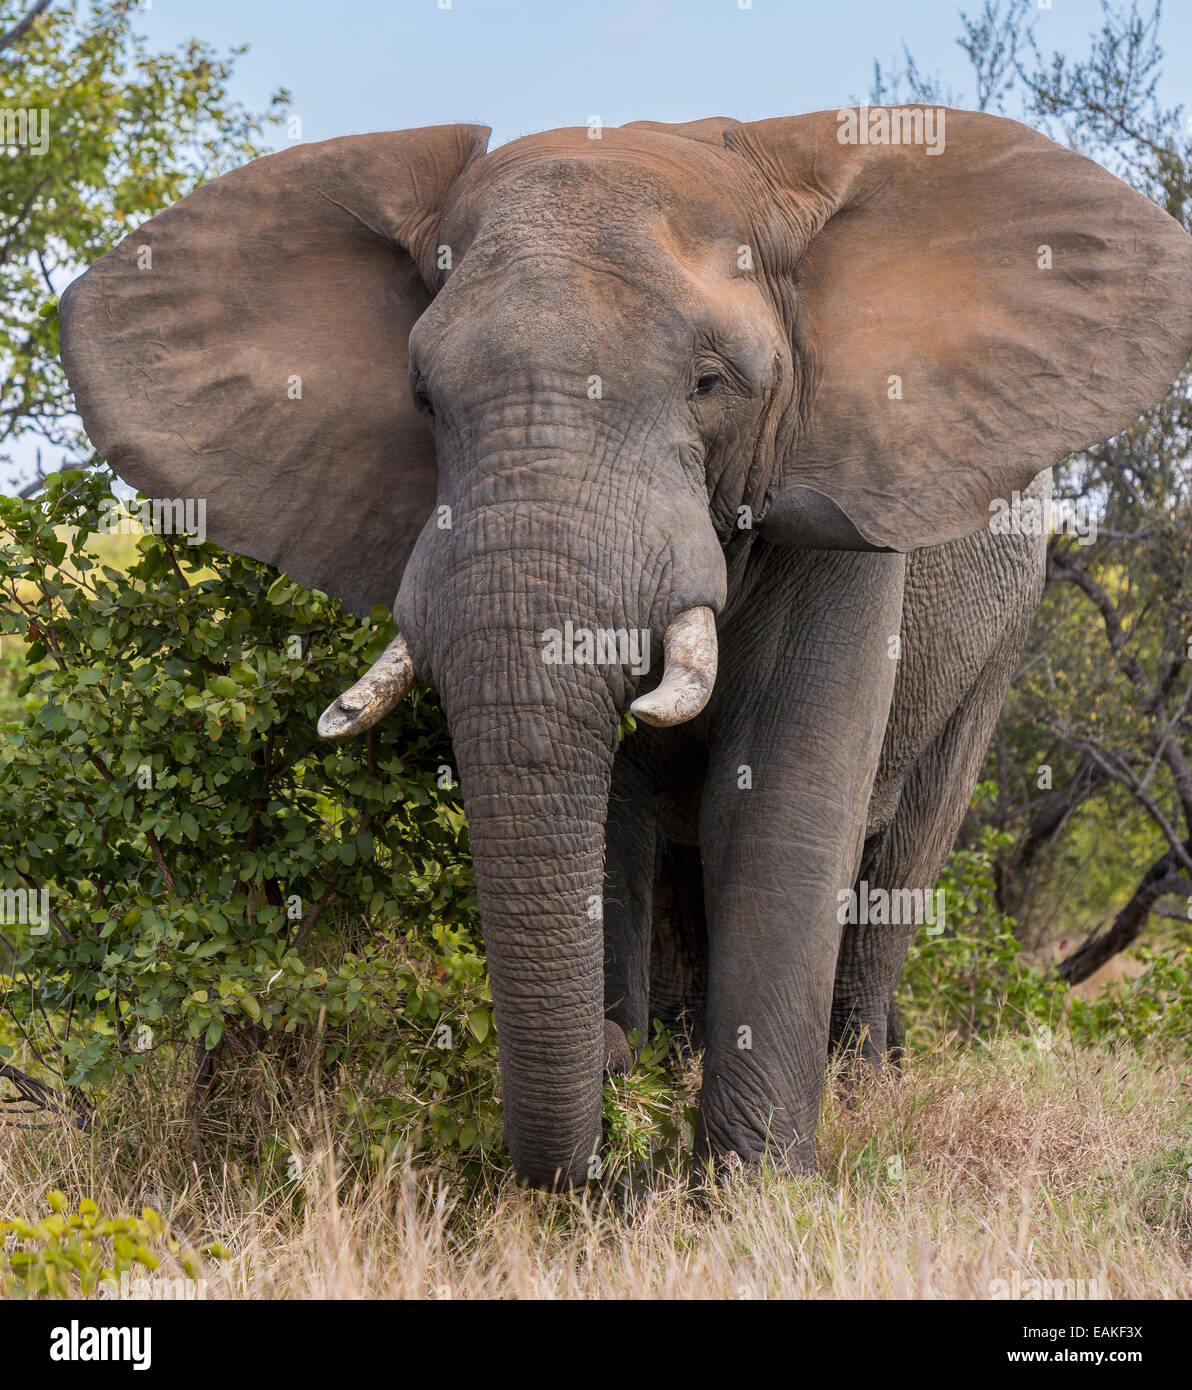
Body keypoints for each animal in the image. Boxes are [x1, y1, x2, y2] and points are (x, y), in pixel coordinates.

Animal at [60, 105, 1189, 1184]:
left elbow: (779, 806)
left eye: (711, 384)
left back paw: (862, 1086)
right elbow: (616, 818)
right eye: (422, 398)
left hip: (1003, 631)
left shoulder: (848, 506)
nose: (606, 1058)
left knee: (901, 855)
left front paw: (749, 1195)